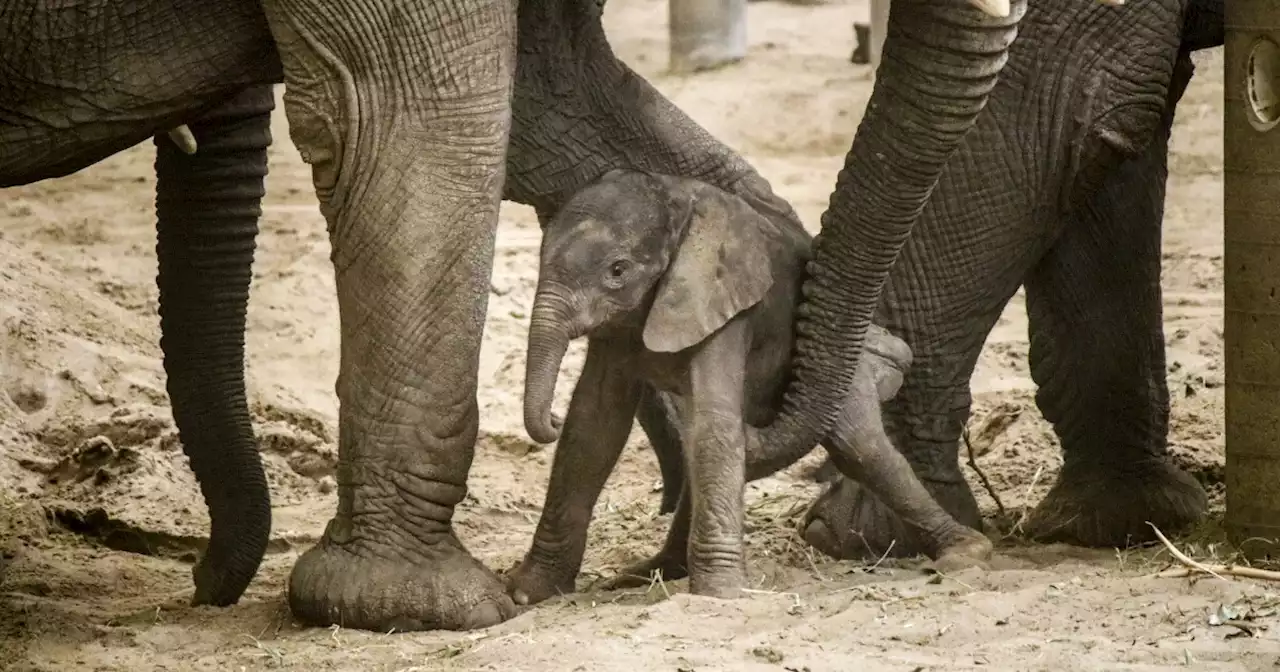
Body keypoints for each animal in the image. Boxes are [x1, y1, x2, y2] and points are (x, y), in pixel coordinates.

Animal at [506, 167, 988, 601]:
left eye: (618, 271)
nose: (548, 418)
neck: (679, 208)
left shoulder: (727, 306)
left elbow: (713, 425)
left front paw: (718, 597)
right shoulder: (618, 328)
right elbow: (593, 427)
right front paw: (529, 594)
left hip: (840, 374)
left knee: (862, 450)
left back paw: (966, 551)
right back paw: (650, 574)